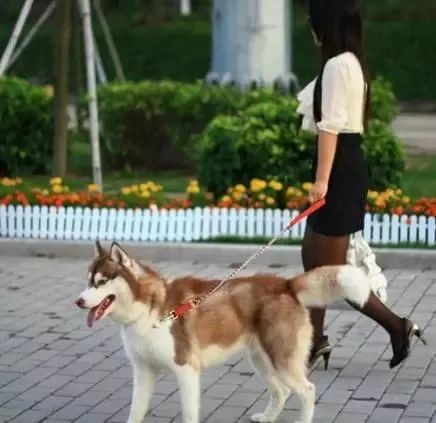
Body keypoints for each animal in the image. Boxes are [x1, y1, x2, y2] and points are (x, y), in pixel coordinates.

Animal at [75, 242, 370, 423]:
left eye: (102, 282)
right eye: (88, 281)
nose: (78, 301)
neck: (149, 311)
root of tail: (285, 284)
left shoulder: (186, 370)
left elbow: (189, 413)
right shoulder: (143, 372)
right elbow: (136, 411)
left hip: (281, 360)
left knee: (307, 390)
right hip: (262, 361)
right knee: (282, 391)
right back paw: (268, 417)